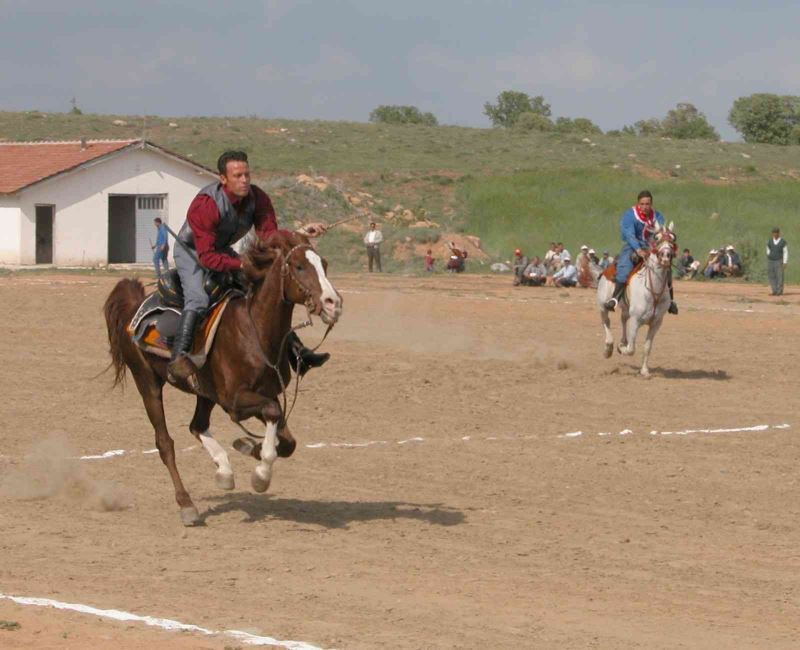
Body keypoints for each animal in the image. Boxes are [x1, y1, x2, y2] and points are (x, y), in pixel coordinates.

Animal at [102, 230, 340, 524]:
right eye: (298, 266)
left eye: (324, 265)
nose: (333, 303)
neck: (254, 330)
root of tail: (134, 309)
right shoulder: (235, 402)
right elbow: (273, 417)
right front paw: (260, 474)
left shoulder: (265, 394)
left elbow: (288, 442)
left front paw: (248, 447)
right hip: (147, 383)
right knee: (165, 443)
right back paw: (187, 504)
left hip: (205, 393)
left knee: (197, 425)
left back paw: (224, 471)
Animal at [600, 221, 676, 378]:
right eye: (656, 237)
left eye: (673, 238)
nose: (666, 256)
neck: (654, 291)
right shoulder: (636, 320)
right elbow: (631, 349)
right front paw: (622, 349)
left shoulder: (656, 323)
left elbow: (647, 347)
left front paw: (645, 371)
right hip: (603, 305)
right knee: (606, 321)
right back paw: (608, 349)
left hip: (625, 309)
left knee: (623, 319)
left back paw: (621, 342)